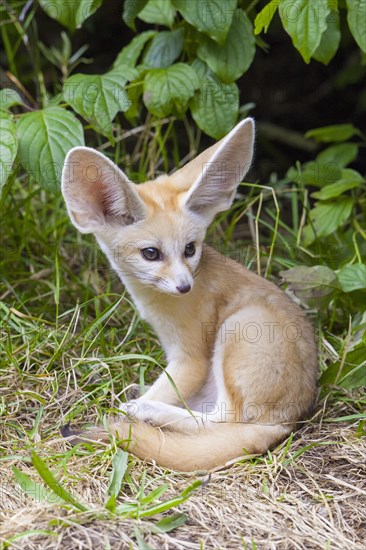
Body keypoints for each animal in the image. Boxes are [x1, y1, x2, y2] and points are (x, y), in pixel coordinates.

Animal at [60, 118, 318, 472]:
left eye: (190, 249)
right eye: (151, 253)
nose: (185, 287)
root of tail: (286, 423)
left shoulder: (190, 360)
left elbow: (169, 389)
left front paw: (140, 407)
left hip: (238, 329)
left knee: (220, 421)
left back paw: (147, 411)